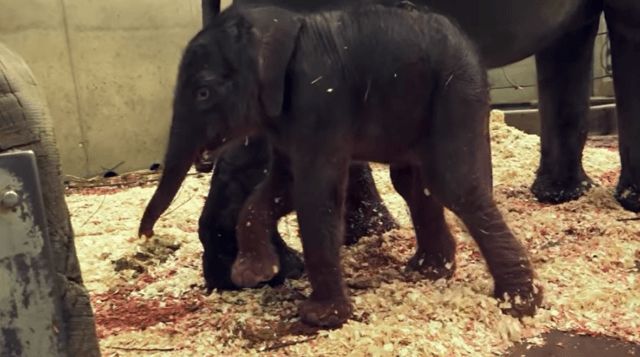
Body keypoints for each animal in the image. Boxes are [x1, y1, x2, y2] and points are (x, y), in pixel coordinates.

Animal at [138, 1, 544, 326]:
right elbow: (281, 188)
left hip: (455, 93)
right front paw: (254, 274)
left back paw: (520, 304)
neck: (280, 26)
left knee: (454, 186)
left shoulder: (319, 102)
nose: (146, 236)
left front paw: (320, 318)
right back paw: (428, 272)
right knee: (415, 183)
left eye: (203, 92)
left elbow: (315, 193)